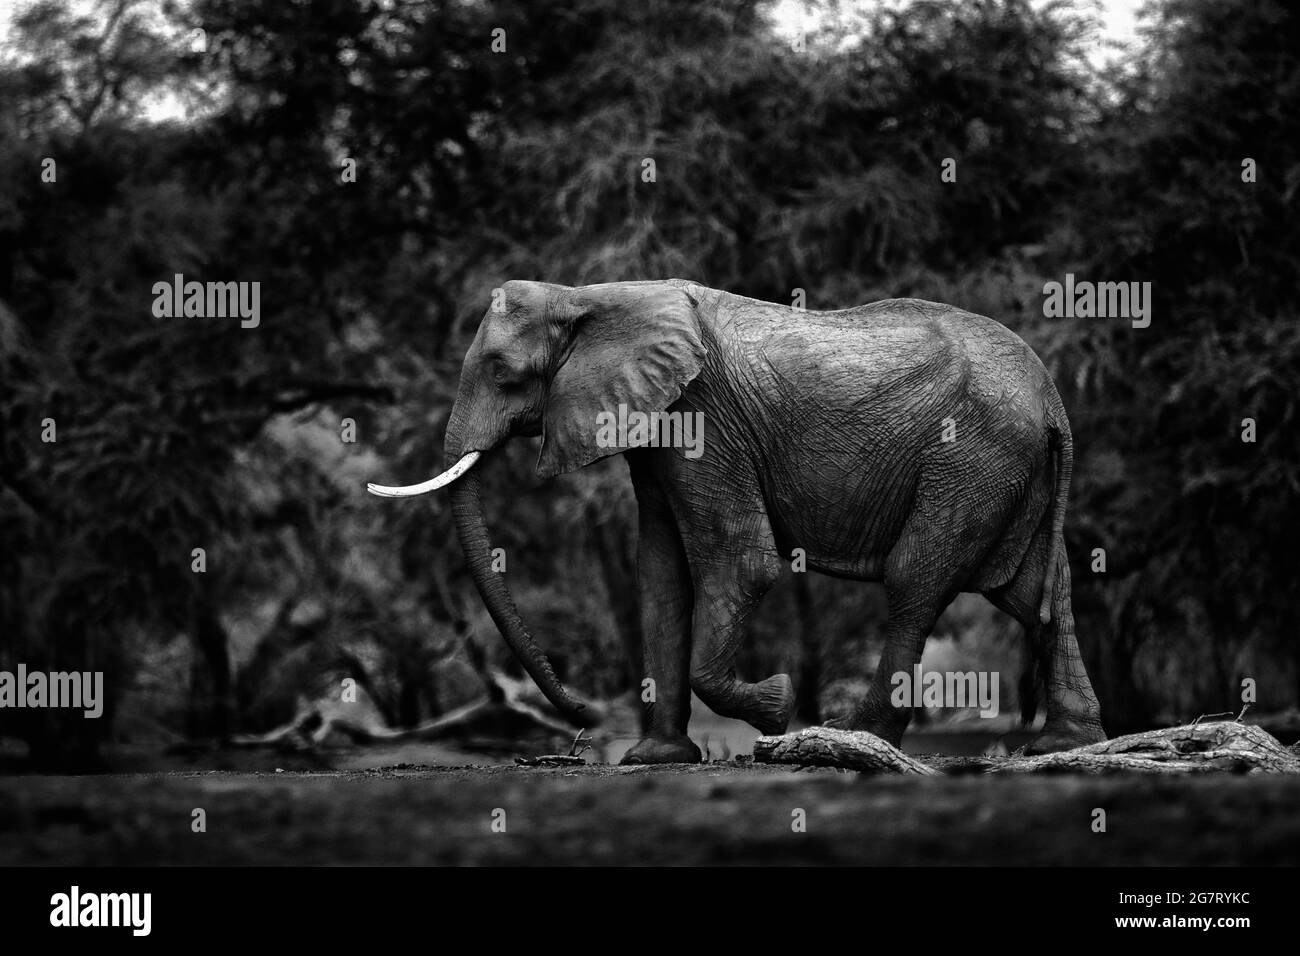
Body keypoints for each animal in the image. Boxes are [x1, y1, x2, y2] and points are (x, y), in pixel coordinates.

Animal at [369, 277, 1107, 764]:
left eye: (501, 373)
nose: (582, 717)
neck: (590, 296)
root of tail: (1054, 401)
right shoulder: (656, 429)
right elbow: (660, 575)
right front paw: (655, 760)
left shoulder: (703, 419)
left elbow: (741, 562)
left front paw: (777, 707)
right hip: (1009, 471)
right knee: (1035, 595)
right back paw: (1065, 743)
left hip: (973, 458)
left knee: (914, 580)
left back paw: (851, 738)